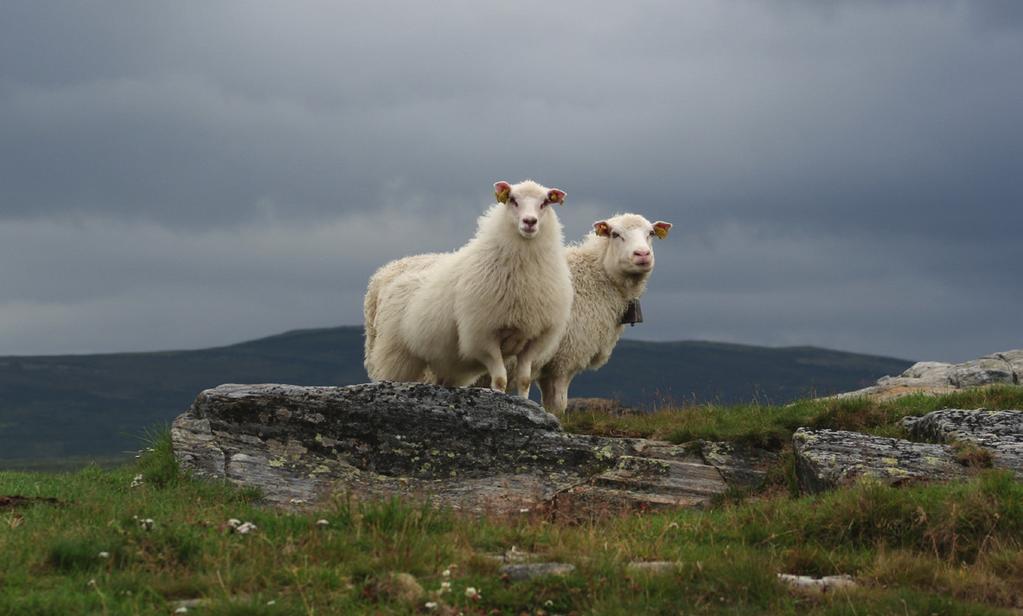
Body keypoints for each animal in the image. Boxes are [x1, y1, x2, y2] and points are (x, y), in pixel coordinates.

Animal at [364, 180, 576, 394]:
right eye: (512, 200)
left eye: (544, 203)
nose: (530, 222)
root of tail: (386, 275)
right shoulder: (482, 336)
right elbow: (500, 379)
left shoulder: (534, 339)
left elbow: (524, 380)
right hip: (396, 354)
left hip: (445, 364)